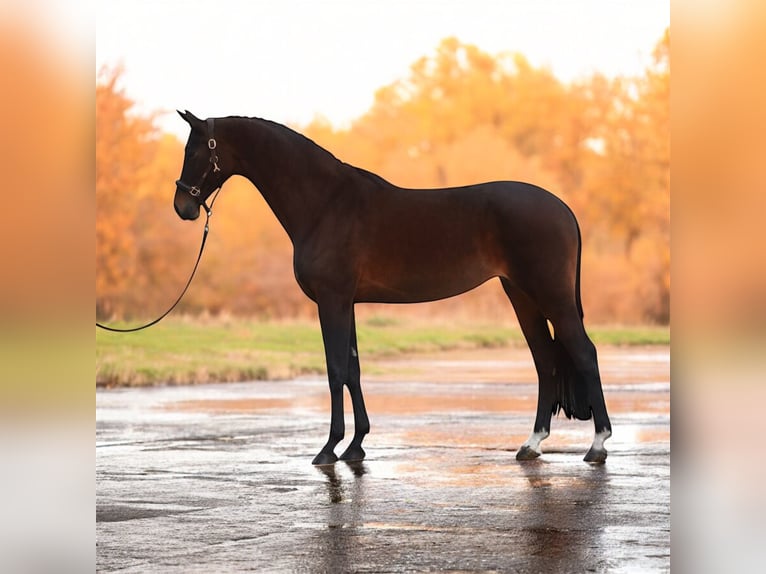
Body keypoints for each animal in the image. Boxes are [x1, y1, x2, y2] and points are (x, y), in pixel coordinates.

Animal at [173, 110, 612, 465]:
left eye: (195, 152)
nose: (183, 207)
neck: (325, 204)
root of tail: (563, 208)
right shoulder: (346, 302)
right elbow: (352, 368)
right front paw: (355, 446)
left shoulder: (332, 300)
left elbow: (335, 369)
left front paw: (328, 448)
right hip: (521, 296)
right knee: (544, 360)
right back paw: (531, 444)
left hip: (551, 296)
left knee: (584, 353)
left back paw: (598, 444)